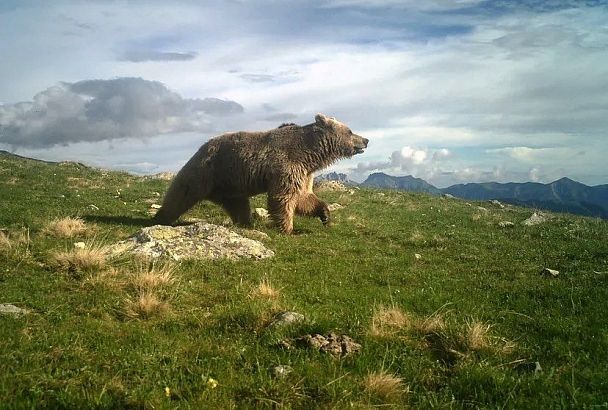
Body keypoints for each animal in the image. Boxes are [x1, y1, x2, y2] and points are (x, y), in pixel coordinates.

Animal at [154, 113, 368, 234]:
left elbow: (303, 196)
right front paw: (287, 228)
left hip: (231, 184)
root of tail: (202, 146)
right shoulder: (287, 164)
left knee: (239, 205)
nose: (366, 140)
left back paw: (245, 222)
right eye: (350, 131)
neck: (311, 155)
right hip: (206, 170)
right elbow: (283, 197)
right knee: (182, 192)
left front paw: (325, 215)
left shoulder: (304, 173)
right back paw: (161, 217)